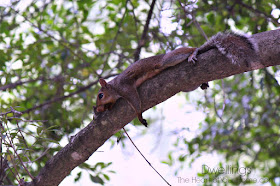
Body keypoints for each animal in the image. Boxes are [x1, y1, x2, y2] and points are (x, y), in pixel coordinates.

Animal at [93, 32, 258, 127]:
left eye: (100, 95)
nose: (97, 107)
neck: (114, 87)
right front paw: (104, 108)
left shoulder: (125, 87)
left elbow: (135, 102)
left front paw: (139, 116)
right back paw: (203, 82)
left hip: (166, 60)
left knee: (191, 49)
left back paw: (193, 53)